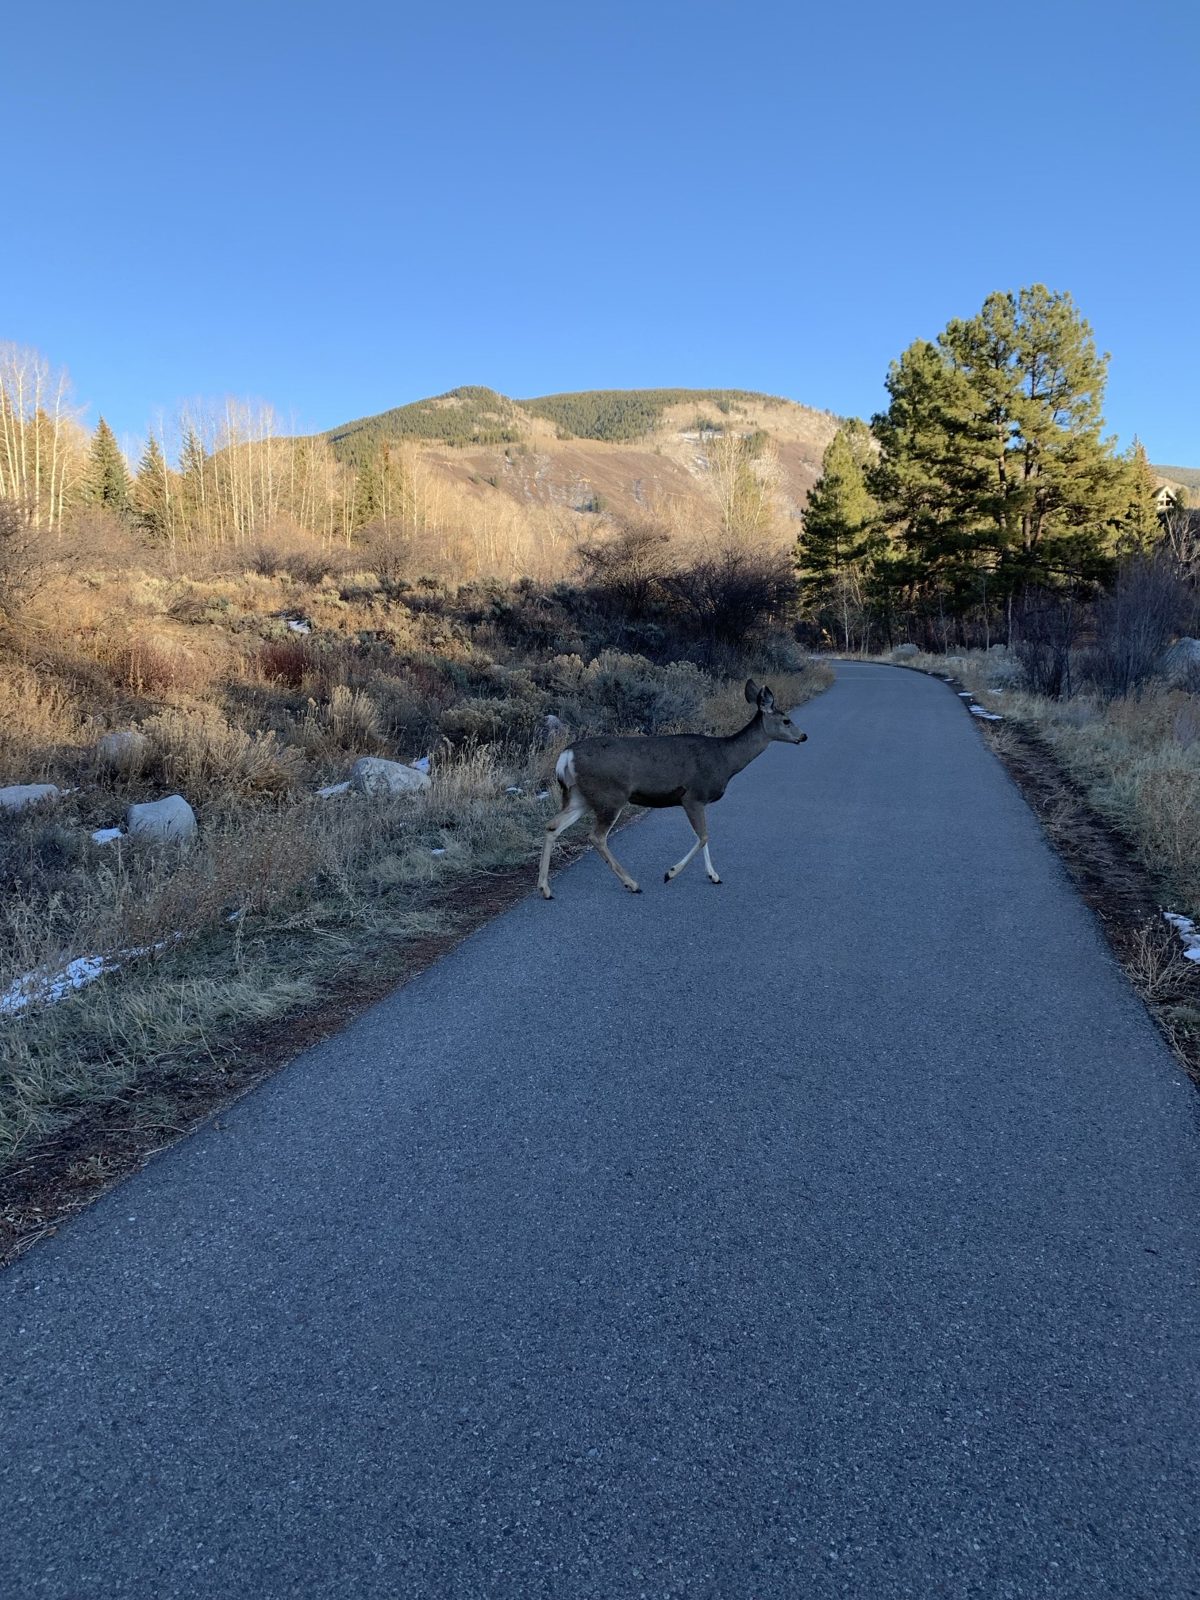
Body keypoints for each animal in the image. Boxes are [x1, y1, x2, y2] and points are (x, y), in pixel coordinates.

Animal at [537, 679, 808, 899]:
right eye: (786, 720)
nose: (803, 736)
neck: (725, 760)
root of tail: (566, 755)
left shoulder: (698, 800)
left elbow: (704, 836)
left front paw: (714, 876)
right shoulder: (693, 796)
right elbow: (704, 836)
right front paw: (671, 873)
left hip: (580, 796)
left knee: (552, 825)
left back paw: (545, 888)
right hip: (610, 796)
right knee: (596, 836)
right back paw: (632, 883)